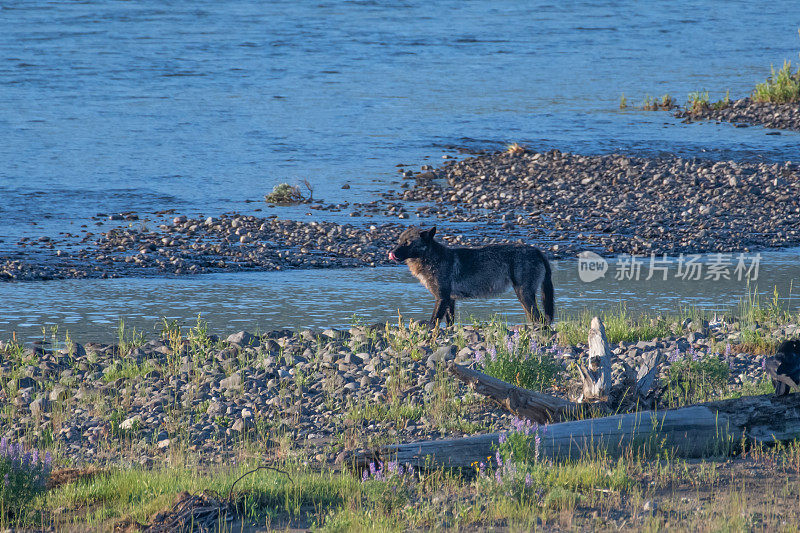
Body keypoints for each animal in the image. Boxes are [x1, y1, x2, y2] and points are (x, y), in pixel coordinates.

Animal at [390, 225, 552, 326]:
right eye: (399, 241)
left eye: (408, 243)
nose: (391, 253)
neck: (432, 259)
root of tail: (537, 250)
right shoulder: (450, 300)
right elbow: (450, 324)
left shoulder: (441, 298)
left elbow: (433, 321)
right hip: (524, 298)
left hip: (524, 295)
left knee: (541, 319)